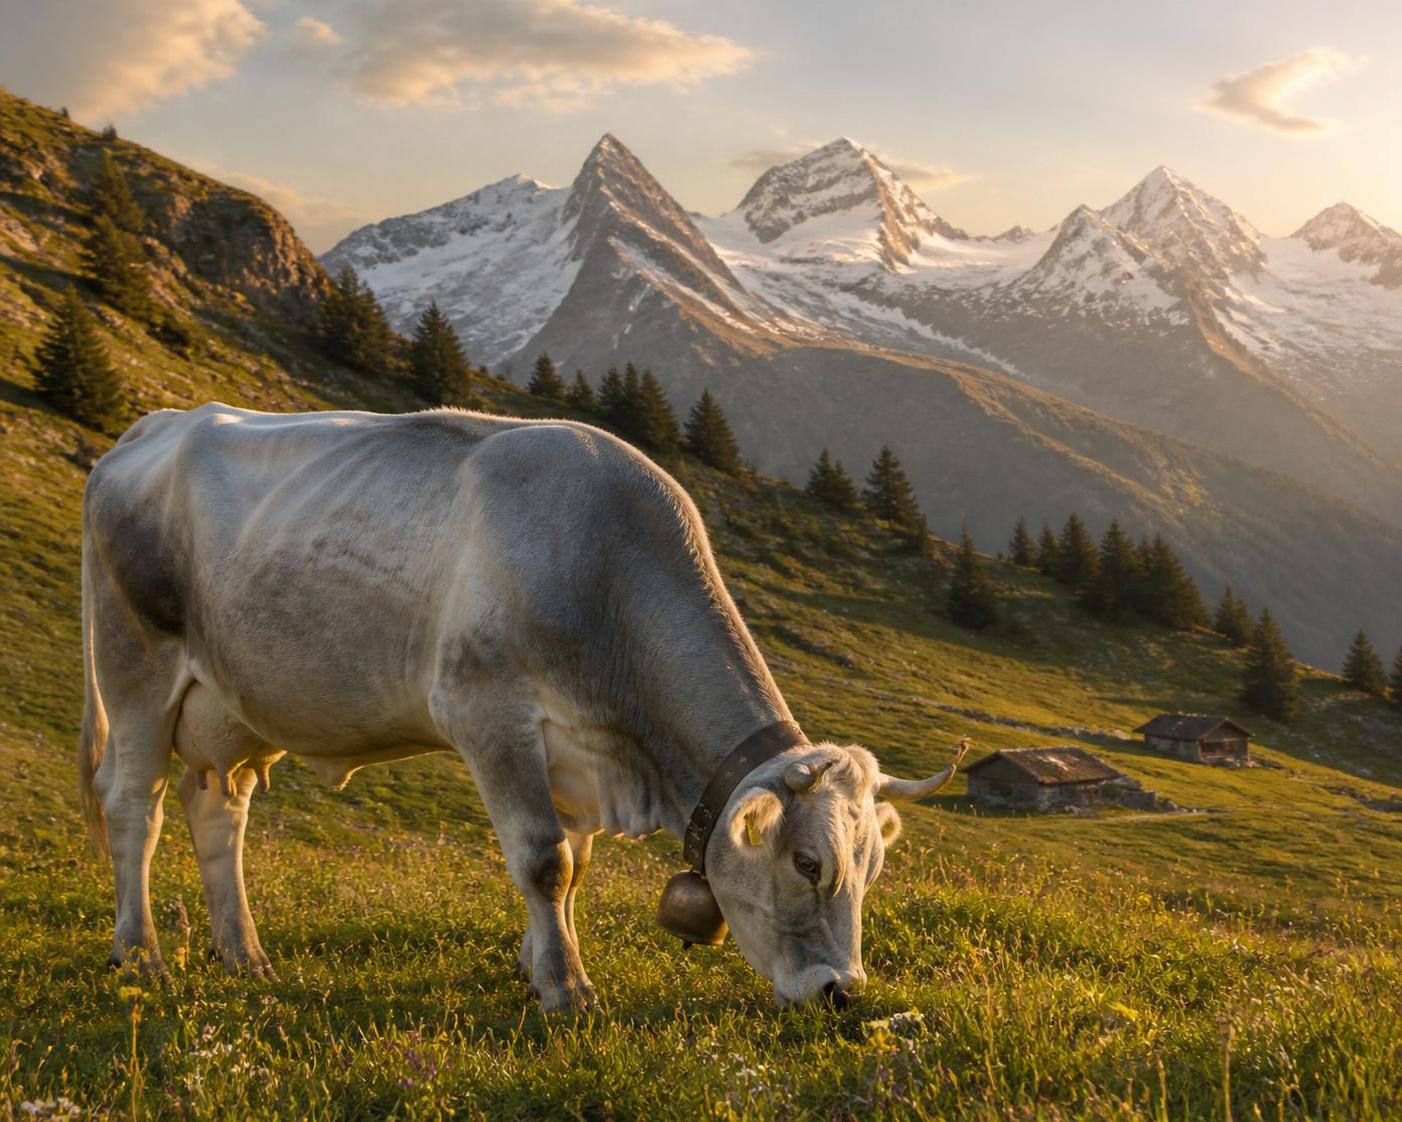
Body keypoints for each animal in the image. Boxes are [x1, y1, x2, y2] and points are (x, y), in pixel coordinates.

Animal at [79, 404, 960, 1010]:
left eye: (873, 868)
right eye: (809, 863)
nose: (843, 991)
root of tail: (159, 424)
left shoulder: (573, 754)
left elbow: (573, 871)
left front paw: (535, 964)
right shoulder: (487, 714)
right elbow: (545, 860)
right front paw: (568, 988)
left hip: (235, 706)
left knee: (217, 812)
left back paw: (245, 955)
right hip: (136, 668)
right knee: (133, 806)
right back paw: (140, 952)